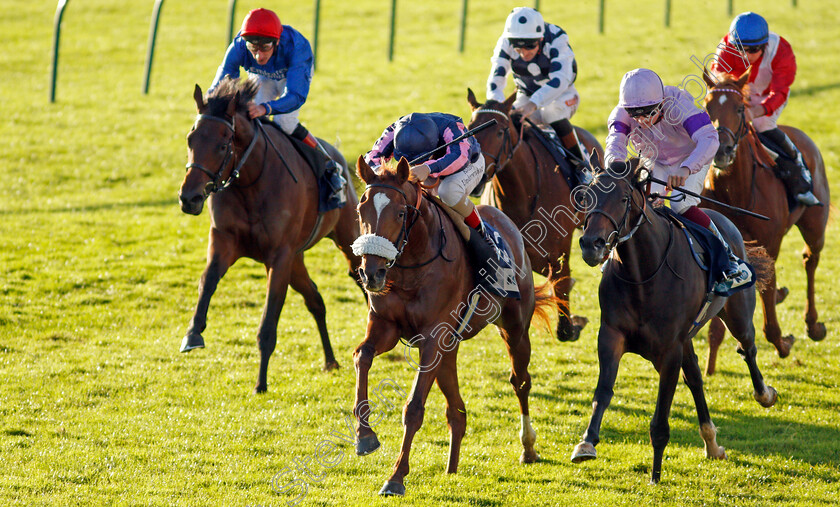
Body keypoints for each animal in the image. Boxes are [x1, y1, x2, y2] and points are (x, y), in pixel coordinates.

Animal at [177, 79, 360, 394]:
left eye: (222, 145)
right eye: (191, 139)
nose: (189, 198)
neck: (252, 181)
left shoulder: (280, 256)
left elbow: (268, 322)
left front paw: (260, 383)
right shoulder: (224, 241)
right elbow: (207, 280)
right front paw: (193, 333)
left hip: (346, 239)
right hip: (297, 262)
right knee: (315, 299)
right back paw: (330, 361)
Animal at [352, 156, 556, 496]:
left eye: (400, 213)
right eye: (361, 209)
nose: (372, 273)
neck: (412, 266)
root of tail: (508, 225)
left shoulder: (433, 338)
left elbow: (414, 408)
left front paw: (396, 477)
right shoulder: (386, 326)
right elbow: (362, 356)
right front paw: (364, 435)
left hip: (514, 328)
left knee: (520, 382)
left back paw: (528, 448)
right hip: (450, 347)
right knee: (457, 411)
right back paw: (452, 467)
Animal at [466, 89, 604, 344]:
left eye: (500, 130)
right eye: (470, 129)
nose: (476, 177)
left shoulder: (559, 252)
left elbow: (561, 289)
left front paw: (572, 324)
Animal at [576, 161, 776, 486]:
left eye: (623, 198)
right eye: (586, 197)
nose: (590, 244)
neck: (643, 275)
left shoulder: (669, 350)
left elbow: (660, 417)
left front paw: (655, 475)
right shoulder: (611, 335)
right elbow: (603, 392)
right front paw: (586, 442)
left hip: (737, 315)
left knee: (748, 348)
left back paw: (765, 395)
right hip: (687, 340)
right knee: (695, 377)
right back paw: (712, 443)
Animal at [704, 70, 828, 374]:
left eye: (739, 108)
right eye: (707, 106)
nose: (721, 150)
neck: (734, 192)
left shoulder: (770, 245)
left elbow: (770, 324)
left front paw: (783, 342)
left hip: (815, 225)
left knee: (810, 260)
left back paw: (813, 325)